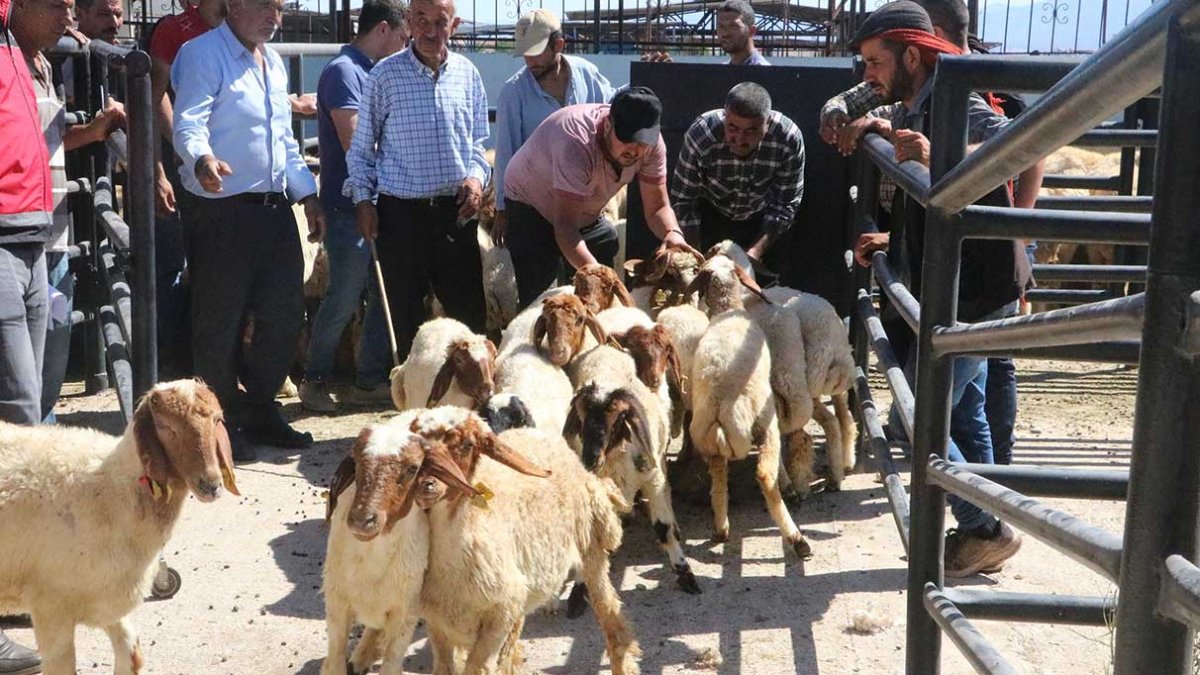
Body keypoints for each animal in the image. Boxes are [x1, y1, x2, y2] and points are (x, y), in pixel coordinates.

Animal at [0, 379, 238, 672]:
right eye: (166, 427)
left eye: (217, 419)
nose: (211, 485)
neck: (115, 488)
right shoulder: (51, 605)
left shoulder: (106, 593)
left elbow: (131, 650)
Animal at [408, 408, 643, 672]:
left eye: (468, 445)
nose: (426, 485)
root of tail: (536, 433)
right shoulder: (438, 622)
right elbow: (446, 667)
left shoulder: (498, 617)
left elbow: (478, 667)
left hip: (590, 549)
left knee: (608, 611)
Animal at [564, 343, 700, 590]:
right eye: (581, 419)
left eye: (618, 420)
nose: (591, 458)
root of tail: (603, 347)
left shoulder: (652, 480)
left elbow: (663, 528)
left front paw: (685, 573)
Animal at [681, 254, 811, 554]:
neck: (728, 311)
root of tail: (719, 407)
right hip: (763, 424)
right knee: (765, 474)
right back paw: (797, 539)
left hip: (708, 442)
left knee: (718, 482)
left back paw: (721, 530)